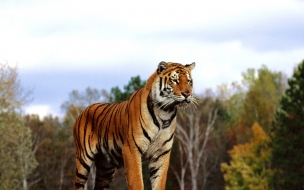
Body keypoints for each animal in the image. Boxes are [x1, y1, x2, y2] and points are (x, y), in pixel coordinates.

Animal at [74, 61, 197, 189]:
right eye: (175, 80)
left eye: (189, 81)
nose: (187, 94)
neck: (165, 113)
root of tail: (83, 111)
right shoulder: (131, 149)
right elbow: (136, 181)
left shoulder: (162, 153)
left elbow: (159, 182)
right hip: (83, 160)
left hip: (105, 168)